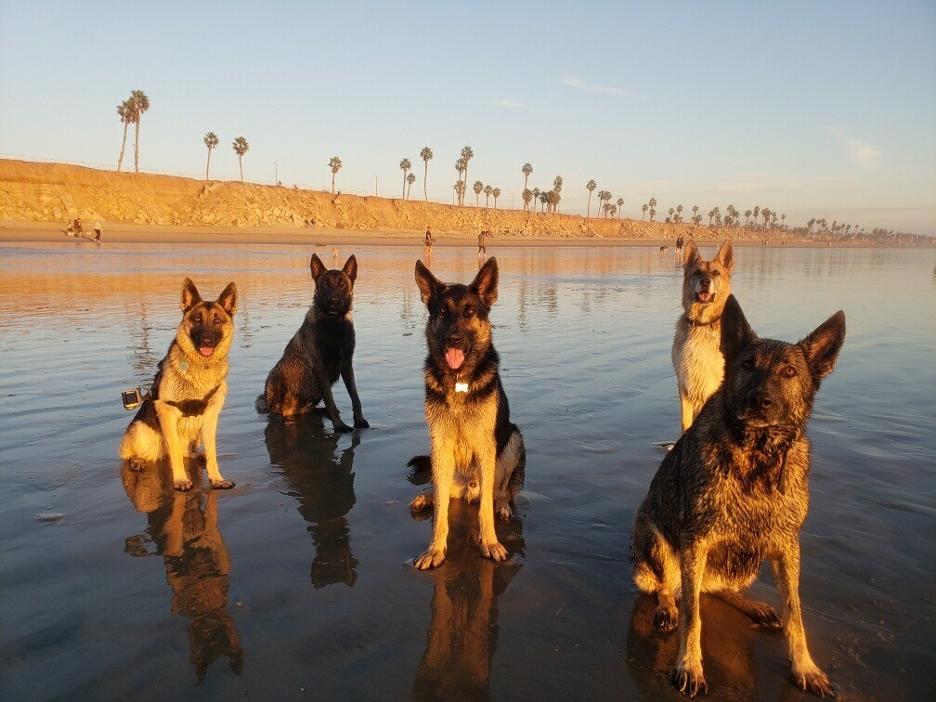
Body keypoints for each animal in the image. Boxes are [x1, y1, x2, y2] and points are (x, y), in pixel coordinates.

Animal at [119, 278, 238, 492]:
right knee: (130, 453)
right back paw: (137, 460)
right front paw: (181, 480)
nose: (207, 341)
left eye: (217, 321)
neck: (201, 368)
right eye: (197, 319)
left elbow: (212, 451)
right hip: (140, 428)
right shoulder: (166, 411)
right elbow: (174, 452)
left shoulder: (211, 416)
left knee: (185, 452)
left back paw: (198, 455)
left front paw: (216, 478)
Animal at [260, 256, 372, 432]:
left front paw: (359, 420)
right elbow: (330, 399)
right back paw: (279, 418)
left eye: (342, 284)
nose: (333, 301)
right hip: (276, 374)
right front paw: (339, 425)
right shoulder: (321, 368)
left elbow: (355, 396)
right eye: (325, 283)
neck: (333, 323)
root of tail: (290, 411)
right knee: (274, 411)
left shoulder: (347, 364)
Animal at [410, 258, 528, 572]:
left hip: (513, 438)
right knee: (443, 493)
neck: (458, 380)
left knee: (499, 492)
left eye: (470, 312)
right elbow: (441, 510)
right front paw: (435, 549)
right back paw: (426, 498)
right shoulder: (440, 444)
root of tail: (467, 489)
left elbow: (485, 507)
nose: (453, 339)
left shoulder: (487, 448)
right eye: (442, 311)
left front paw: (490, 543)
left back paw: (502, 505)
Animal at [632, 294, 844, 700]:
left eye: (789, 372)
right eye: (747, 365)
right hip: (655, 536)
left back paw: (752, 605)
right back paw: (666, 606)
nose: (759, 400)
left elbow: (795, 612)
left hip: (749, 557)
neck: (757, 461)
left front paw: (805, 666)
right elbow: (693, 617)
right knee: (672, 587)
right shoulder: (695, 539)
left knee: (713, 589)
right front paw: (689, 665)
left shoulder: (787, 544)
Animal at [676, 242, 736, 434]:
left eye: (716, 272)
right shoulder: (684, 386)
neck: (702, 325)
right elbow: (685, 423)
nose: (705, 282)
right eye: (697, 272)